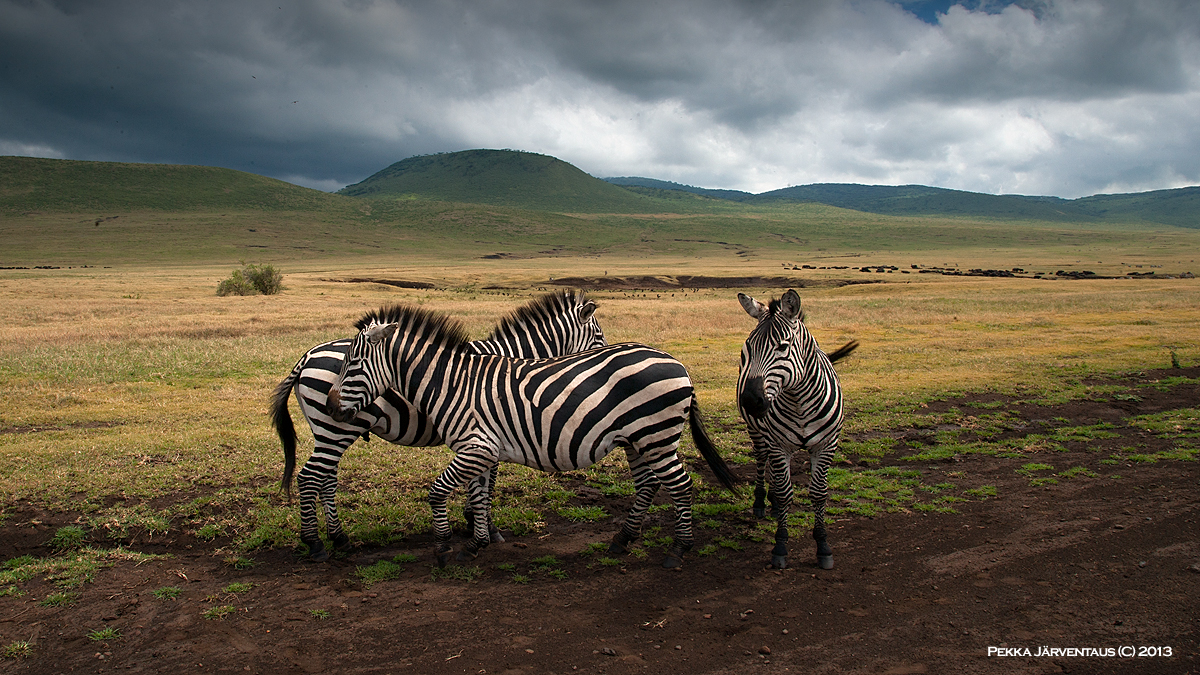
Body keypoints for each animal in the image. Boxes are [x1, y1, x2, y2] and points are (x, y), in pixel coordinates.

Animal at [274, 291, 609, 559]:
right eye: (599, 339)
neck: (511, 360)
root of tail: (307, 355)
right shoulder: (494, 431)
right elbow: (488, 485)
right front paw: (483, 526)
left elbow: (480, 483)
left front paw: (474, 523)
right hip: (335, 430)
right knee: (310, 478)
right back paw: (315, 543)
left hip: (330, 431)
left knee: (326, 480)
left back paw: (339, 538)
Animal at [328, 305, 739, 566]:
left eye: (354, 363)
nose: (332, 406)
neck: (453, 383)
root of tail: (677, 362)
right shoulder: (479, 448)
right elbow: (479, 495)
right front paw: (475, 543)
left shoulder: (476, 447)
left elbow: (438, 491)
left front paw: (444, 547)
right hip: (640, 440)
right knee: (649, 484)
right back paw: (623, 539)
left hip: (655, 435)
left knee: (680, 485)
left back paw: (679, 550)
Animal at [729, 285, 854, 569]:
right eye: (747, 347)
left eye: (782, 347)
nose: (750, 400)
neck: (799, 401)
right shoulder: (779, 444)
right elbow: (786, 493)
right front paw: (781, 545)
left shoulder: (826, 445)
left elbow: (819, 493)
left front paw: (823, 545)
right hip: (759, 434)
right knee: (763, 460)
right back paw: (762, 502)